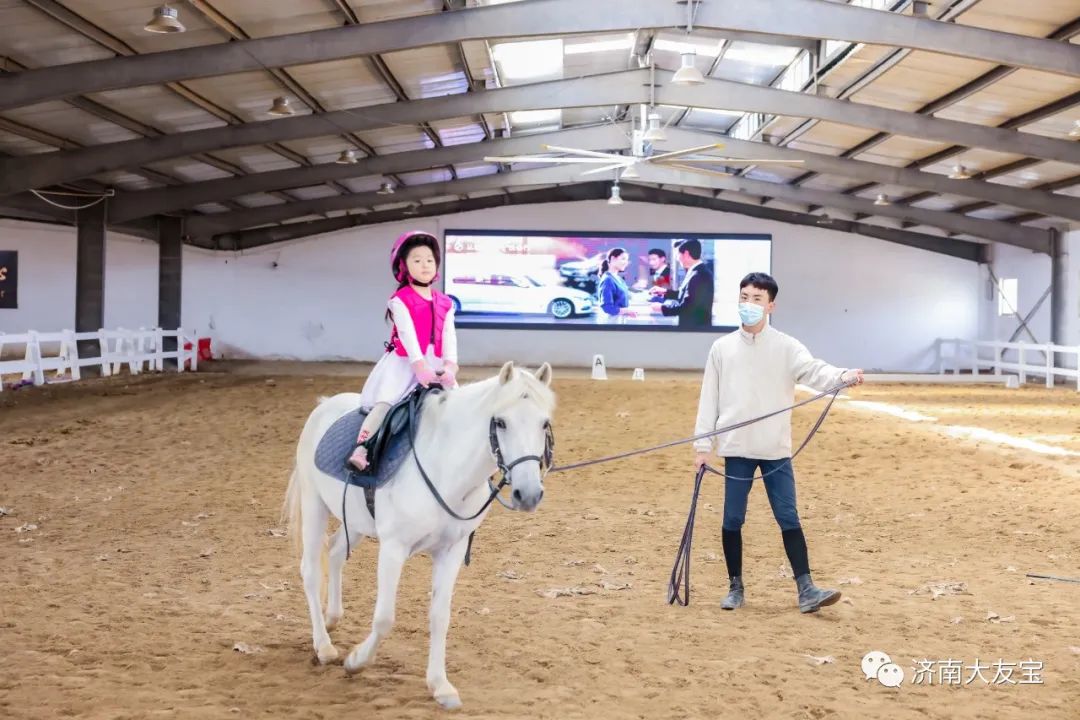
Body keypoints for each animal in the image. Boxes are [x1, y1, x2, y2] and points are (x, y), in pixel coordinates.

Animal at [282, 360, 557, 708]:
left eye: (544, 423)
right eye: (501, 422)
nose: (528, 494)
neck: (444, 467)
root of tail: (324, 405)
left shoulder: (451, 551)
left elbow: (440, 617)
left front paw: (441, 686)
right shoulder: (393, 548)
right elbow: (385, 617)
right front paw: (356, 661)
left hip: (354, 522)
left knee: (334, 553)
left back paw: (332, 618)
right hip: (314, 504)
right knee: (310, 571)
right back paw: (324, 646)